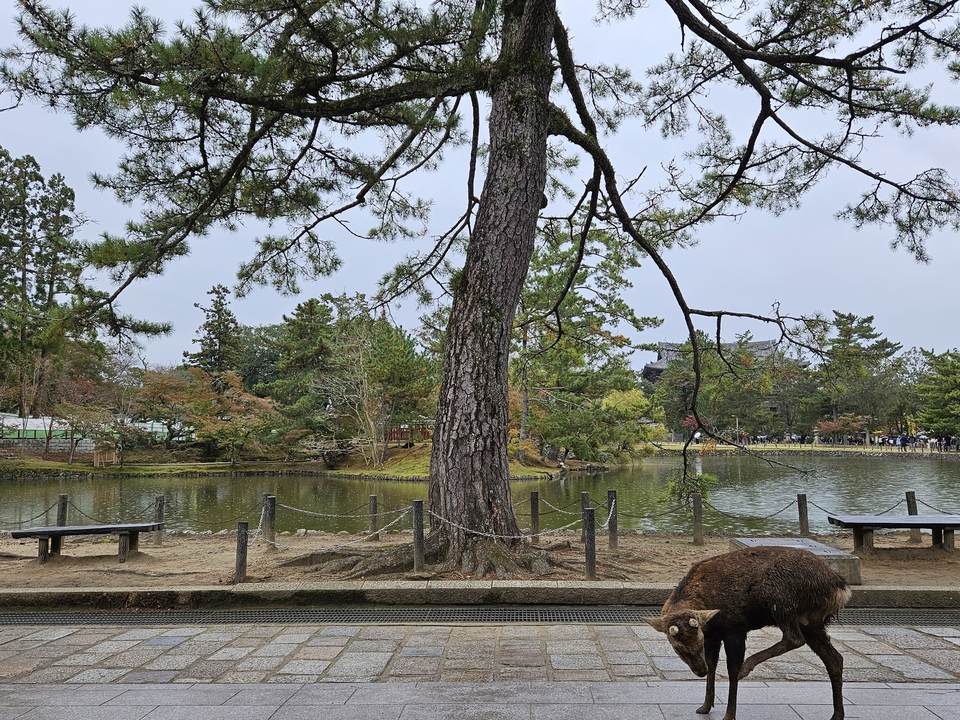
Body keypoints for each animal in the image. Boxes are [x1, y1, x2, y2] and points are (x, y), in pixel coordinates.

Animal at [644, 545, 851, 720]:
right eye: (678, 648)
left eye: (698, 642)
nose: (699, 671)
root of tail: (841, 587)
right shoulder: (713, 634)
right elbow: (712, 663)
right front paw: (705, 706)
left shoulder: (735, 627)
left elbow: (732, 669)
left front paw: (729, 715)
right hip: (811, 622)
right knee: (834, 658)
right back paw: (837, 715)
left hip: (782, 601)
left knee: (794, 638)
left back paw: (748, 666)